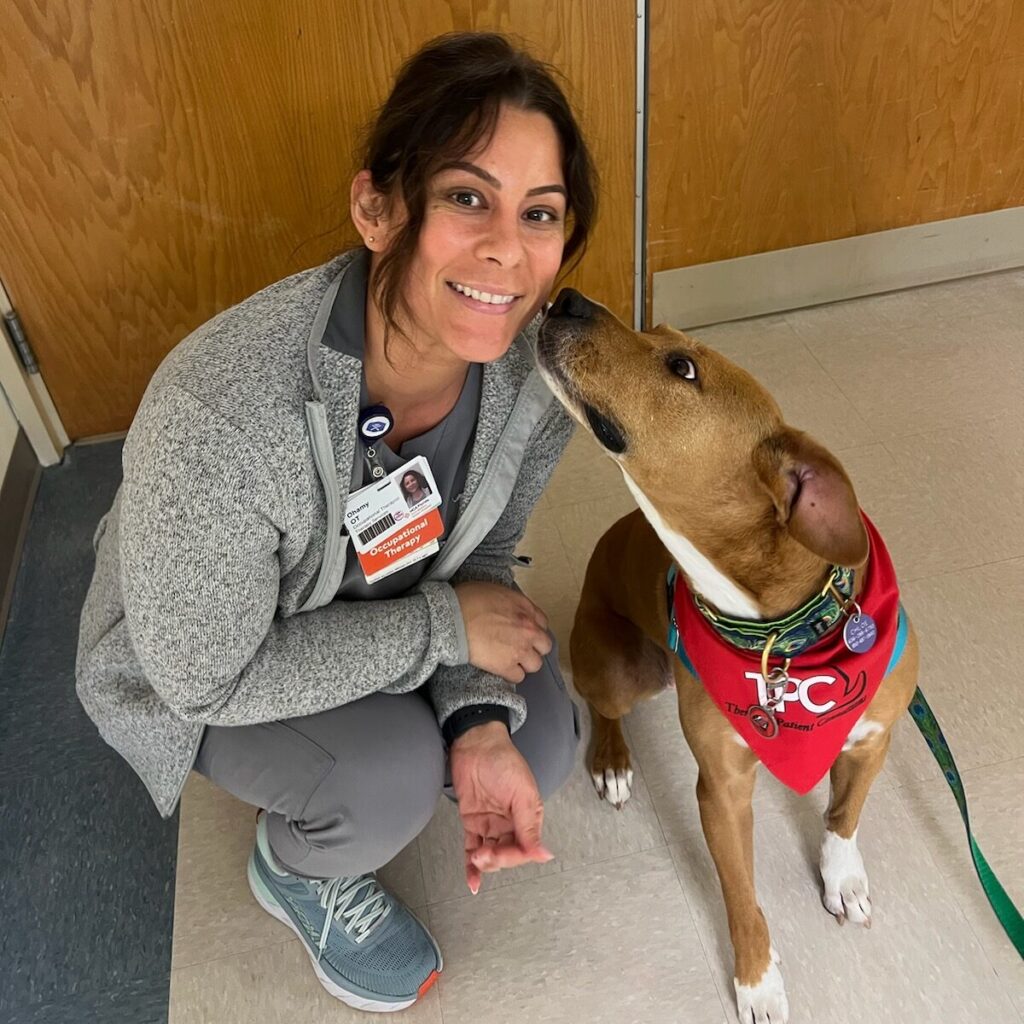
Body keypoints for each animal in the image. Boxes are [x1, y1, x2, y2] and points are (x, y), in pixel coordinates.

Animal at [536, 288, 921, 1024]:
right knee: (603, 708)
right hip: (620, 667)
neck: (781, 639)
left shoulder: (872, 739)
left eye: (682, 367)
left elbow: (844, 815)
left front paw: (843, 878)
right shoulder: (722, 789)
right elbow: (743, 899)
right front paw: (757, 981)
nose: (565, 297)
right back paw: (612, 762)